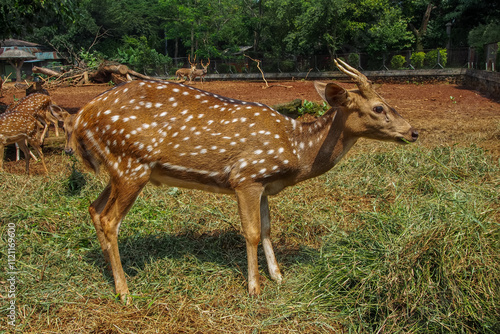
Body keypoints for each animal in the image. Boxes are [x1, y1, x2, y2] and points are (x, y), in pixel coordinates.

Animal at [58, 59, 418, 302]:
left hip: (119, 169)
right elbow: (253, 232)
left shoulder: (265, 185)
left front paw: (278, 277)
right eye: (379, 107)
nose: (413, 132)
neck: (297, 151)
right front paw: (254, 287)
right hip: (131, 164)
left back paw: (109, 272)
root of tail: (80, 118)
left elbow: (269, 227)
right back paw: (124, 292)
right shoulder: (246, 177)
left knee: (93, 209)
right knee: (109, 219)